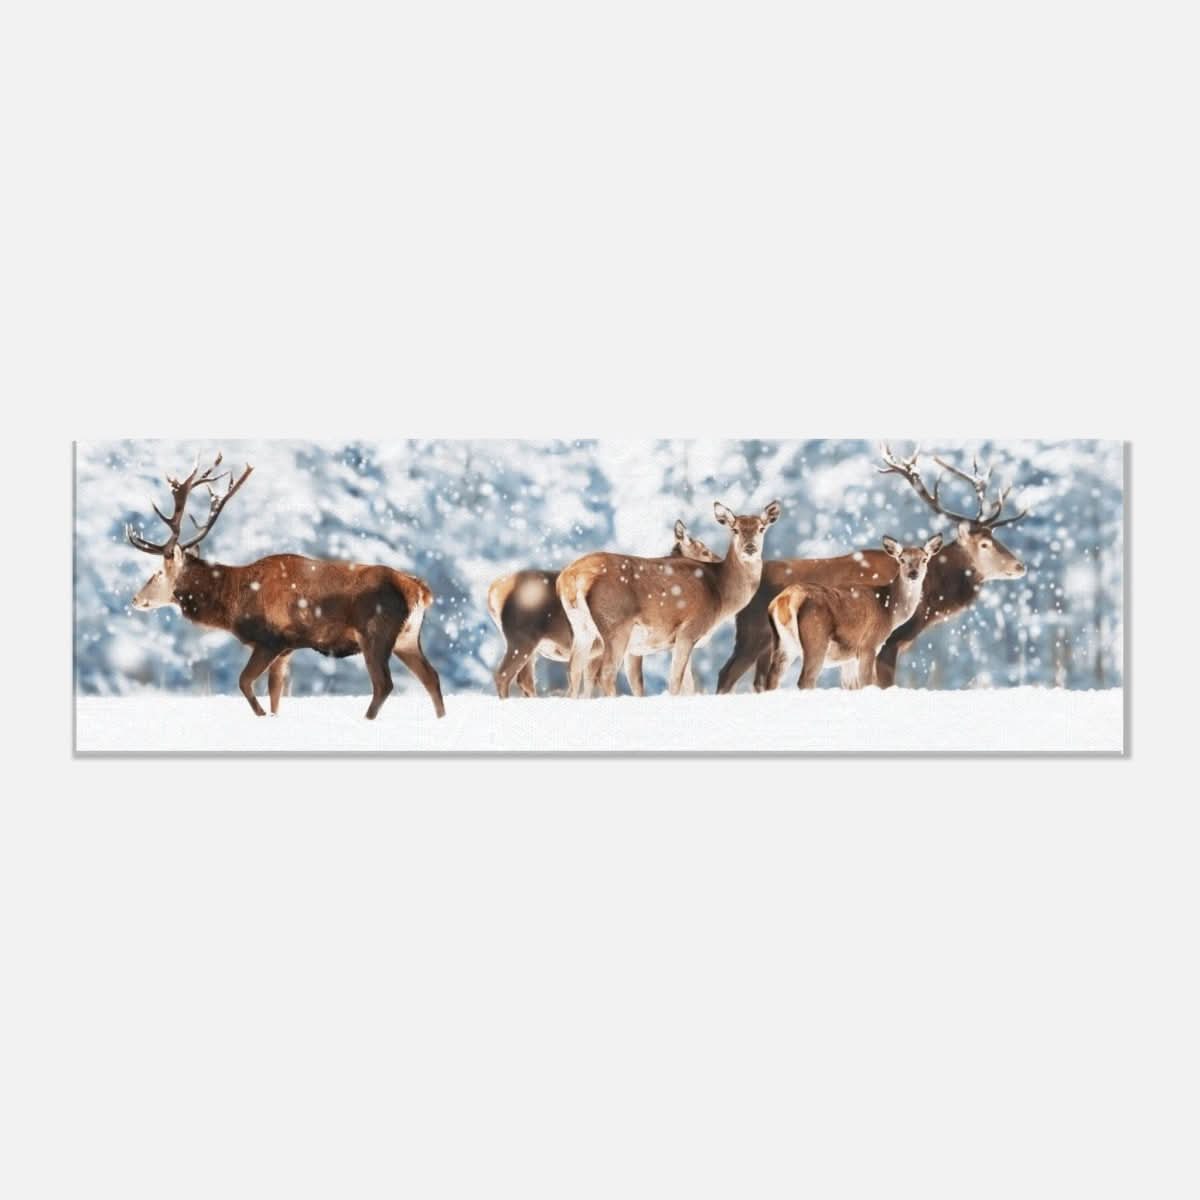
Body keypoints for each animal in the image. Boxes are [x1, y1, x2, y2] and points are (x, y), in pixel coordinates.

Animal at [126, 453, 445, 720]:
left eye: (157, 572)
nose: (135, 599)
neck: (233, 601)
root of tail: (418, 590)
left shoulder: (270, 639)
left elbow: (244, 682)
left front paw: (261, 716)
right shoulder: (287, 649)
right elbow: (275, 694)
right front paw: (273, 717)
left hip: (375, 631)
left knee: (384, 684)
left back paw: (367, 720)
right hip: (407, 638)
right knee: (431, 676)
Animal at [486, 522, 721, 699]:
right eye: (704, 550)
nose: (719, 561)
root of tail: (492, 592)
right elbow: (636, 684)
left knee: (524, 679)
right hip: (522, 638)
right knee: (505, 675)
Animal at [558, 500, 782, 698]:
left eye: (761, 528)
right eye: (734, 529)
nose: (750, 548)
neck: (721, 596)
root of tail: (572, 577)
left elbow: (686, 686)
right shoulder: (689, 629)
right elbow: (675, 681)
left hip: (582, 629)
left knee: (573, 671)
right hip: (616, 624)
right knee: (606, 672)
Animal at [764, 535, 943, 689]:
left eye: (924, 559)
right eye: (902, 559)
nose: (913, 574)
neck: (889, 611)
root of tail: (785, 599)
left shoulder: (849, 657)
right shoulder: (868, 645)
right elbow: (867, 683)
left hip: (784, 643)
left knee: (771, 679)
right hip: (816, 639)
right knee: (806, 679)